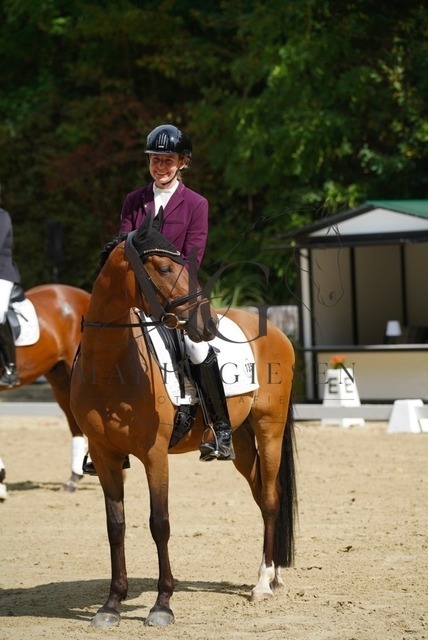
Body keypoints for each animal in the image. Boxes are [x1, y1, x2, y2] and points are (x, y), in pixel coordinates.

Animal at [70, 216, 297, 628]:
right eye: (162, 268)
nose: (205, 324)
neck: (110, 366)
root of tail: (275, 330)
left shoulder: (154, 454)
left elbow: (159, 523)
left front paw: (162, 605)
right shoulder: (105, 455)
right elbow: (116, 526)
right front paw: (111, 605)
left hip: (268, 428)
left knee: (272, 498)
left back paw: (262, 584)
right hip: (240, 441)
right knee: (261, 494)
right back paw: (273, 575)